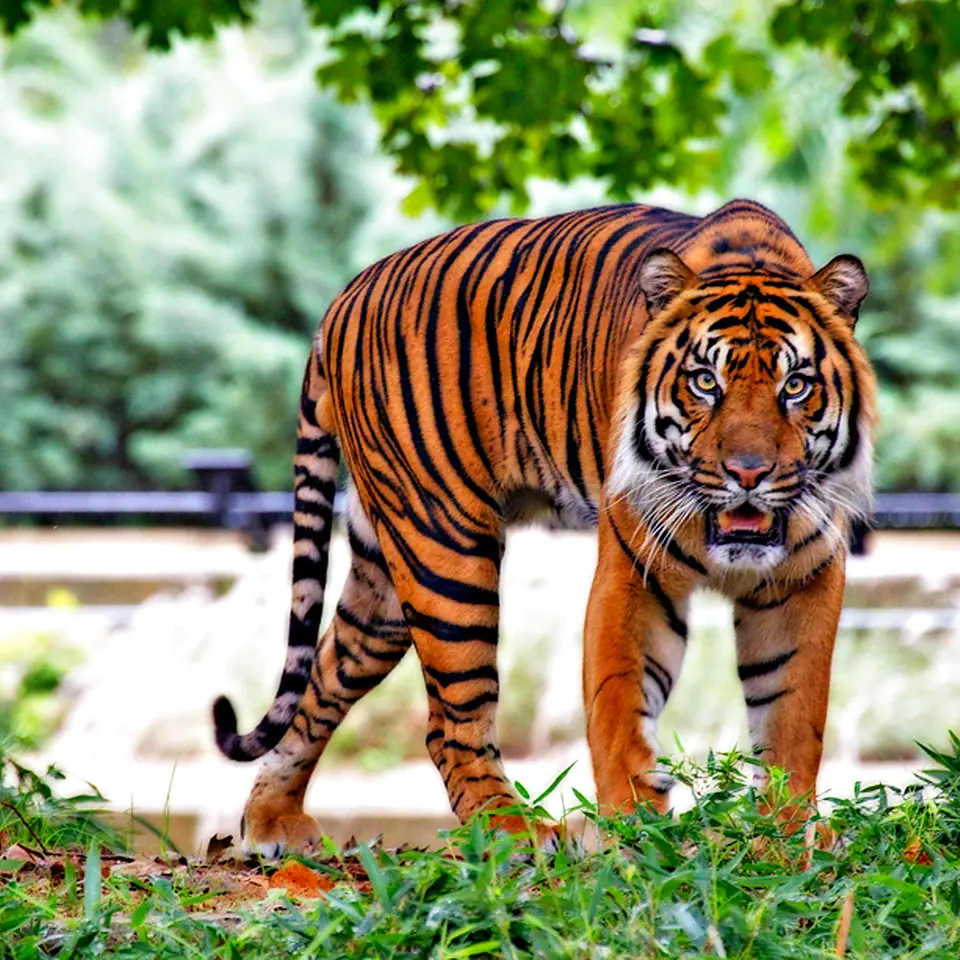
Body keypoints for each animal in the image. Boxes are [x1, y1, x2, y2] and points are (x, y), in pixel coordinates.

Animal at [213, 198, 876, 855]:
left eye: (796, 385)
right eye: (705, 382)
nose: (748, 473)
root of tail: (343, 298)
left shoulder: (805, 579)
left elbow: (792, 718)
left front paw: (783, 837)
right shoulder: (633, 573)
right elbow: (620, 708)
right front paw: (638, 837)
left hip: (384, 581)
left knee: (324, 677)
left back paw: (272, 820)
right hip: (445, 550)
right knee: (449, 723)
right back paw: (514, 831)